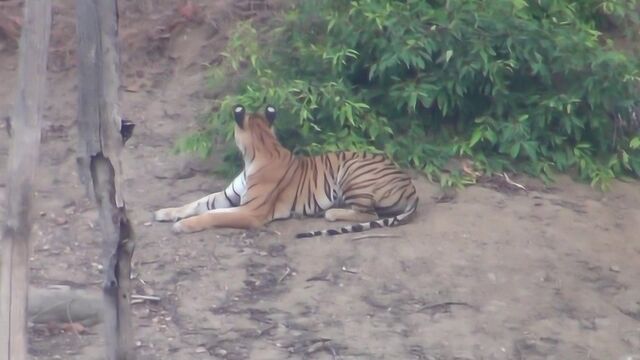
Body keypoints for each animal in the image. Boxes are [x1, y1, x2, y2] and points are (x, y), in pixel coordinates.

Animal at [152, 105, 418, 238]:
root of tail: (411, 185)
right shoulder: (228, 196)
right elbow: (197, 203)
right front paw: (165, 213)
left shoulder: (251, 212)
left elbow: (214, 215)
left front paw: (183, 226)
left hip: (353, 171)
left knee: (368, 213)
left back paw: (332, 212)